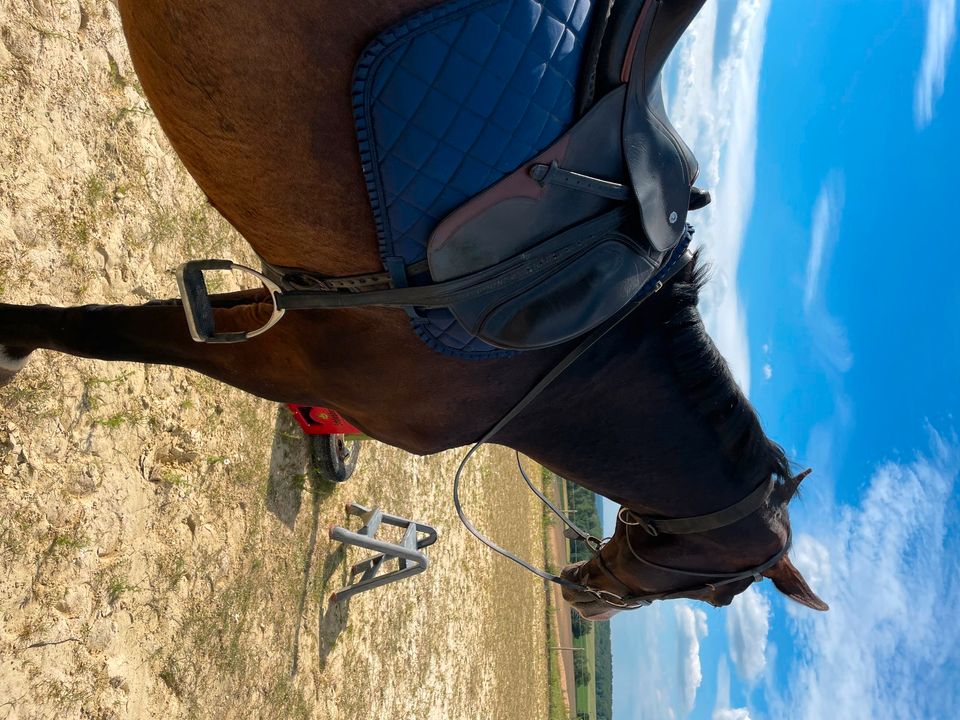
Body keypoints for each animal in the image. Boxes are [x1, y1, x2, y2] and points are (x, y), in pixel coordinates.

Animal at [0, 0, 824, 620]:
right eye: (719, 593)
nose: (584, 599)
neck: (568, 358)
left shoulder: (296, 315)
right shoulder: (288, 358)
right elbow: (101, 333)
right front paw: (11, 341)